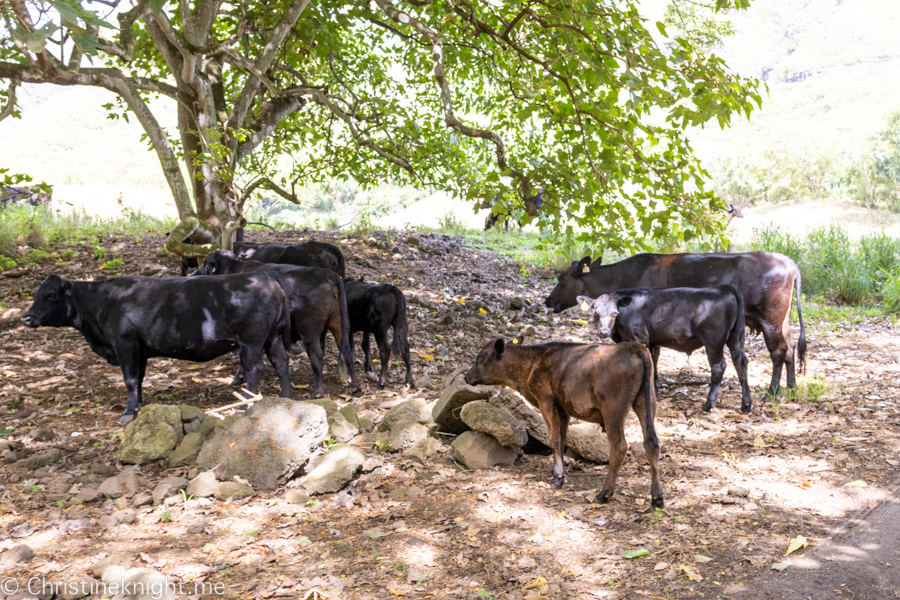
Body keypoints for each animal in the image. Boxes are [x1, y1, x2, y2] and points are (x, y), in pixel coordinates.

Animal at [22, 274, 292, 424]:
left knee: (255, 370)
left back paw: (246, 405)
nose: (26, 318)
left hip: (251, 342)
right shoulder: (139, 350)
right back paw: (288, 398)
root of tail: (270, 280)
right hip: (272, 338)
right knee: (281, 364)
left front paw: (128, 412)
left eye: (50, 295)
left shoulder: (125, 343)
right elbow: (138, 379)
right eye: (35, 294)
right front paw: (138, 406)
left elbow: (130, 379)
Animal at [197, 251, 362, 396]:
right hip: (338, 324)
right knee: (347, 351)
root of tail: (326, 274)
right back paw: (356, 388)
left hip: (309, 332)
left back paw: (318, 392)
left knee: (317, 356)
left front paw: (238, 378)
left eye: (206, 265)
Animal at [464, 338, 660, 506]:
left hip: (613, 411)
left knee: (619, 447)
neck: (532, 361)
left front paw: (558, 477)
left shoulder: (546, 400)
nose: (466, 377)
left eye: (480, 357)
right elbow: (562, 437)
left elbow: (553, 438)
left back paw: (603, 494)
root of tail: (635, 347)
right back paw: (657, 498)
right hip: (646, 402)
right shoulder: (564, 408)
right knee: (651, 442)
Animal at [544, 251, 804, 396]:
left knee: (778, 351)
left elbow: (653, 355)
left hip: (770, 321)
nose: (548, 301)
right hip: (783, 321)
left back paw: (772, 391)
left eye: (562, 278)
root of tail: (788, 262)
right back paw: (791, 385)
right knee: (790, 347)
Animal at [576, 286, 752, 412]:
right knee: (741, 362)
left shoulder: (638, 339)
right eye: (595, 312)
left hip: (713, 342)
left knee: (719, 367)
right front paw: (653, 386)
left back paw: (708, 405)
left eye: (614, 313)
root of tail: (723, 288)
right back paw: (746, 405)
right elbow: (653, 362)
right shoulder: (653, 342)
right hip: (736, 337)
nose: (604, 331)